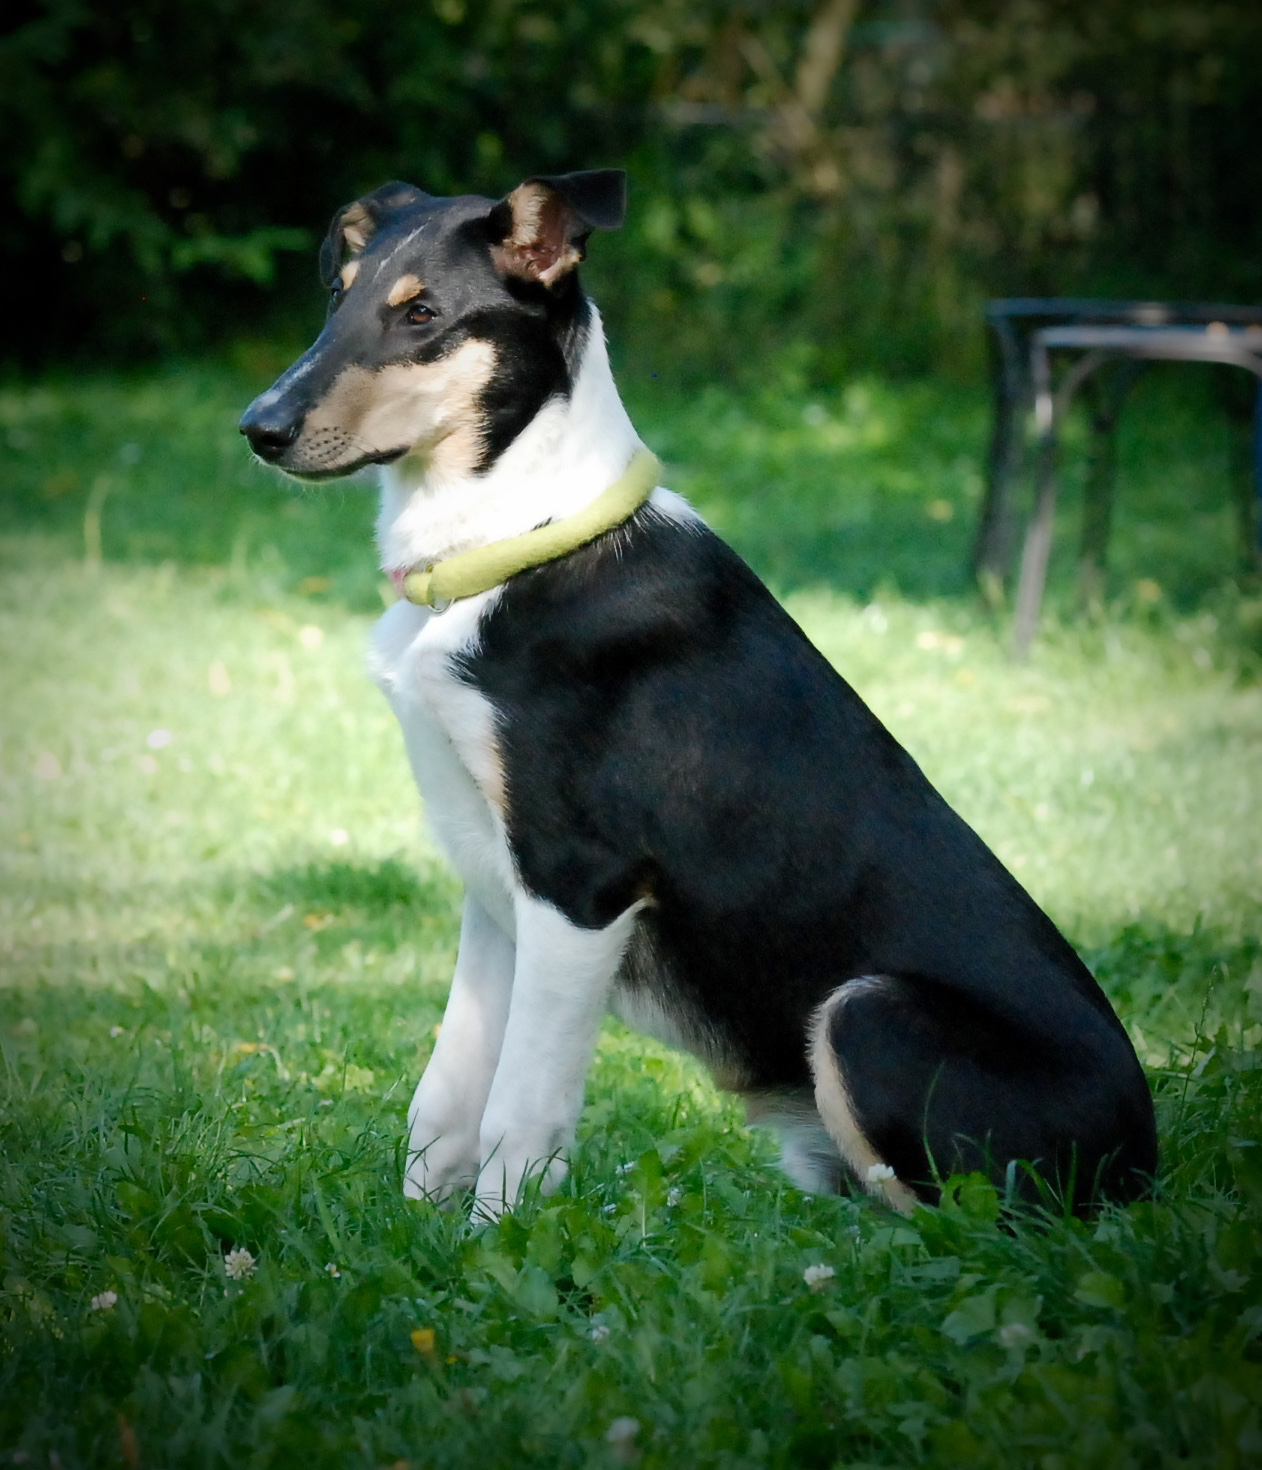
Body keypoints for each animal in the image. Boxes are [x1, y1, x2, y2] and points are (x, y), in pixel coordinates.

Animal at [240, 169, 1157, 1220]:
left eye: (422, 312)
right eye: (336, 296)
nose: (258, 430)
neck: (508, 546)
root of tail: (1147, 1166)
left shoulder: (580, 883)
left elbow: (521, 1107)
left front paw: (502, 1244)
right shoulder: (494, 877)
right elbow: (444, 1095)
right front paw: (417, 1239)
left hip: (869, 1013)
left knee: (973, 1227)